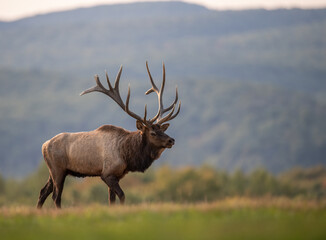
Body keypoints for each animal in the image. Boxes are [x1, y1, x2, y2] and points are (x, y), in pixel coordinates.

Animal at [38, 62, 182, 208]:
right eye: (153, 133)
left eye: (162, 130)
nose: (171, 140)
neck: (127, 155)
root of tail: (44, 145)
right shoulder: (107, 173)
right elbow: (122, 195)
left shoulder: (117, 175)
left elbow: (111, 200)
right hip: (58, 169)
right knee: (56, 196)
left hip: (53, 170)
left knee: (43, 192)